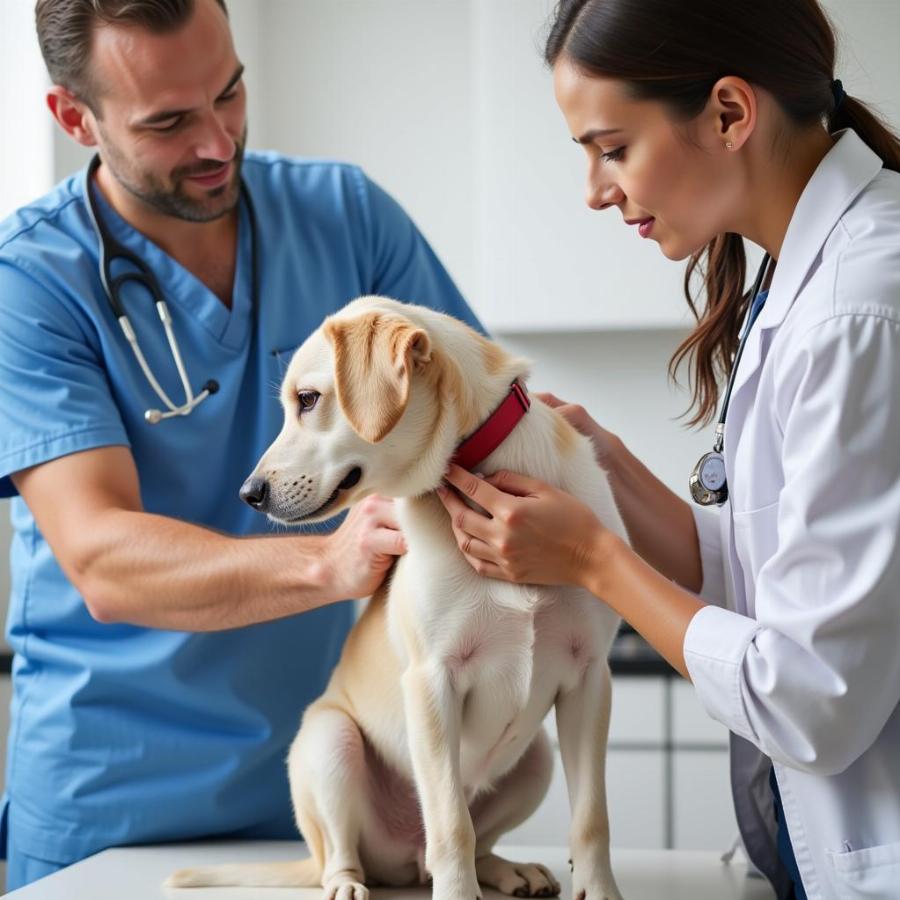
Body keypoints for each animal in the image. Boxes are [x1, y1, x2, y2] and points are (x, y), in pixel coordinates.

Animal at [165, 298, 624, 900]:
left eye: (307, 399)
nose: (250, 493)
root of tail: (405, 860)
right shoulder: (432, 680)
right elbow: (451, 825)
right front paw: (457, 898)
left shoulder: (589, 676)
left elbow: (590, 818)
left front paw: (600, 890)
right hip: (330, 741)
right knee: (354, 852)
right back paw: (347, 885)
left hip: (538, 759)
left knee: (477, 841)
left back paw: (507, 870)